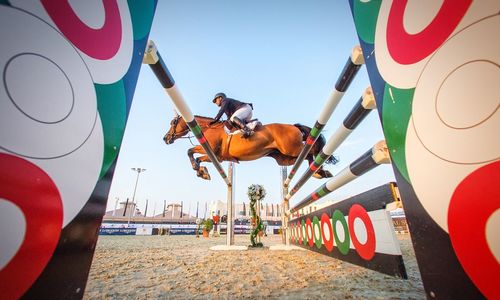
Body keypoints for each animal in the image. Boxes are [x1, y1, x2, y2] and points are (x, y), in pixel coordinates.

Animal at [163, 115, 336, 180]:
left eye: (173, 122)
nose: (165, 138)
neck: (208, 128)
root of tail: (294, 126)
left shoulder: (212, 153)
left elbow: (190, 152)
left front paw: (200, 171)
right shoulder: (217, 158)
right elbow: (195, 155)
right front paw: (201, 171)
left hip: (292, 150)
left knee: (310, 152)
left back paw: (320, 170)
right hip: (284, 158)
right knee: (306, 156)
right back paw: (320, 172)